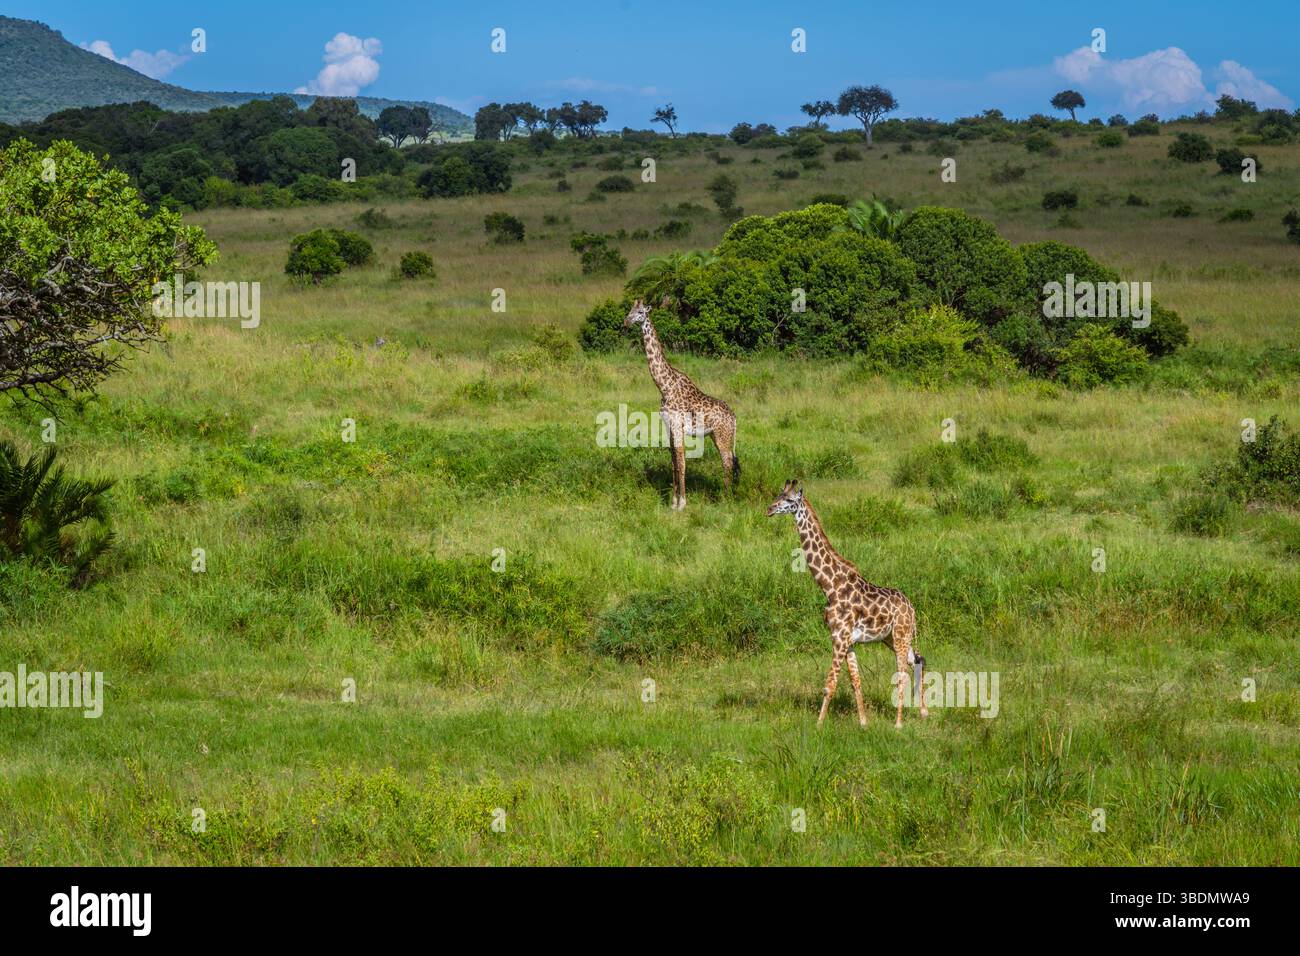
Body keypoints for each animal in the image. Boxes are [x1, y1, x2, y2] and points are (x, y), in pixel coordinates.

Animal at [624, 299, 739, 510]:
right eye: (629, 311)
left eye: (641, 312)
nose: (626, 322)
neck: (664, 386)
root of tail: (734, 417)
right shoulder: (669, 427)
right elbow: (673, 464)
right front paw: (673, 502)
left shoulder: (678, 427)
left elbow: (681, 463)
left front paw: (682, 503)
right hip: (714, 435)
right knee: (730, 462)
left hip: (723, 435)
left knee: (727, 461)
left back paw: (725, 499)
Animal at [767, 480, 927, 728]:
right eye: (778, 495)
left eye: (790, 500)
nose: (770, 508)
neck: (830, 586)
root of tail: (911, 607)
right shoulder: (846, 640)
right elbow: (855, 681)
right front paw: (863, 723)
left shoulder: (840, 638)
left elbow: (829, 684)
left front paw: (818, 725)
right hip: (892, 637)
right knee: (918, 659)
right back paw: (923, 712)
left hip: (901, 634)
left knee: (902, 673)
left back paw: (899, 723)